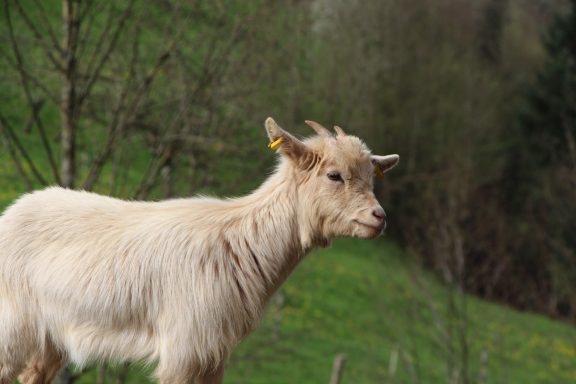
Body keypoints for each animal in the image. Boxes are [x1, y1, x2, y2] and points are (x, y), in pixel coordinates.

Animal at [0, 118, 396, 382]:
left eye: (372, 176)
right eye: (334, 175)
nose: (379, 218)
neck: (241, 242)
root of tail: (11, 212)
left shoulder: (214, 352)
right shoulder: (184, 346)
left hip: (48, 339)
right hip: (12, 325)